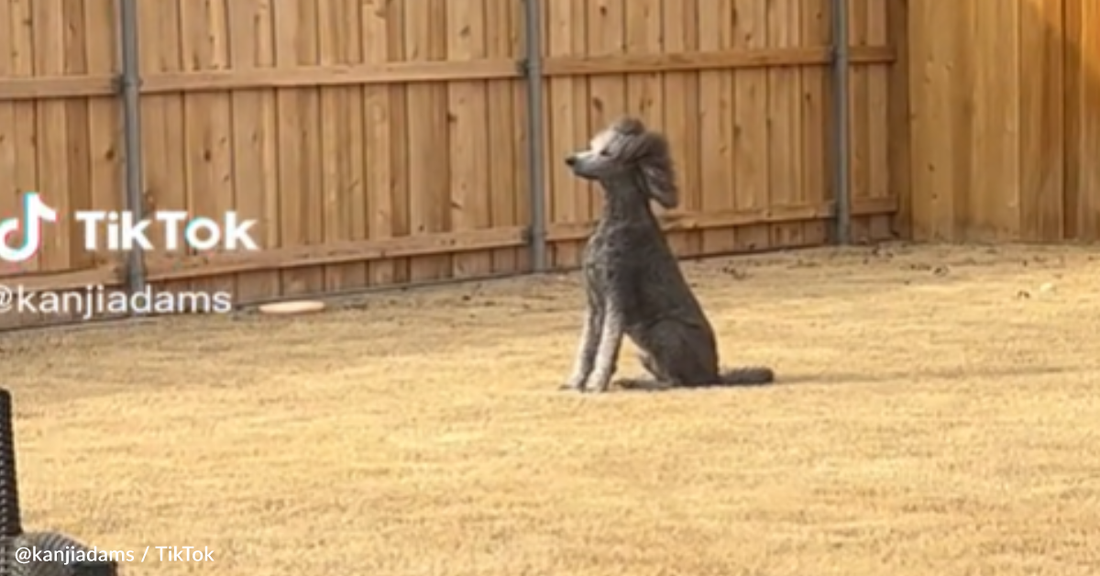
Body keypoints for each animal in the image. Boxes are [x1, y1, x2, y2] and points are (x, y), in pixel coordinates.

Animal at [558, 117, 774, 395]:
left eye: (606, 153)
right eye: (592, 147)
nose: (570, 159)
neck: (618, 218)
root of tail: (714, 375)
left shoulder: (616, 296)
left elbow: (607, 346)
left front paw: (595, 384)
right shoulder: (595, 303)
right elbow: (586, 347)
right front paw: (575, 382)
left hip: (661, 330)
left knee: (677, 382)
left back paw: (643, 384)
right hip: (644, 349)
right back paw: (633, 380)